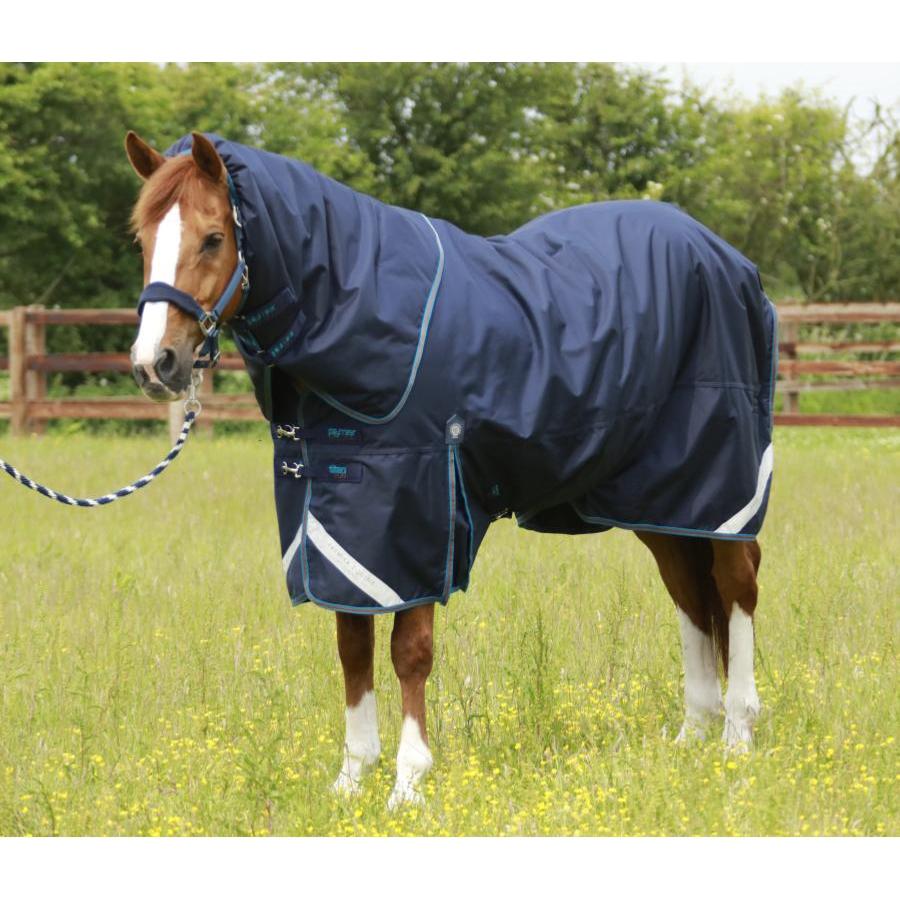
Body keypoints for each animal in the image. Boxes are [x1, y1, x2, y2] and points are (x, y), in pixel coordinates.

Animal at [125, 131, 774, 808]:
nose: (153, 363)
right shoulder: (340, 526)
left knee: (736, 586)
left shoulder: (418, 513)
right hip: (658, 500)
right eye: (142, 240)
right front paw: (352, 777)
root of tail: (727, 259)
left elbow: (409, 652)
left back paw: (737, 734)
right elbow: (352, 647)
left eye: (212, 238)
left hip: (721, 483)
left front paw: (408, 781)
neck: (365, 319)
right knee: (689, 593)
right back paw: (692, 733)